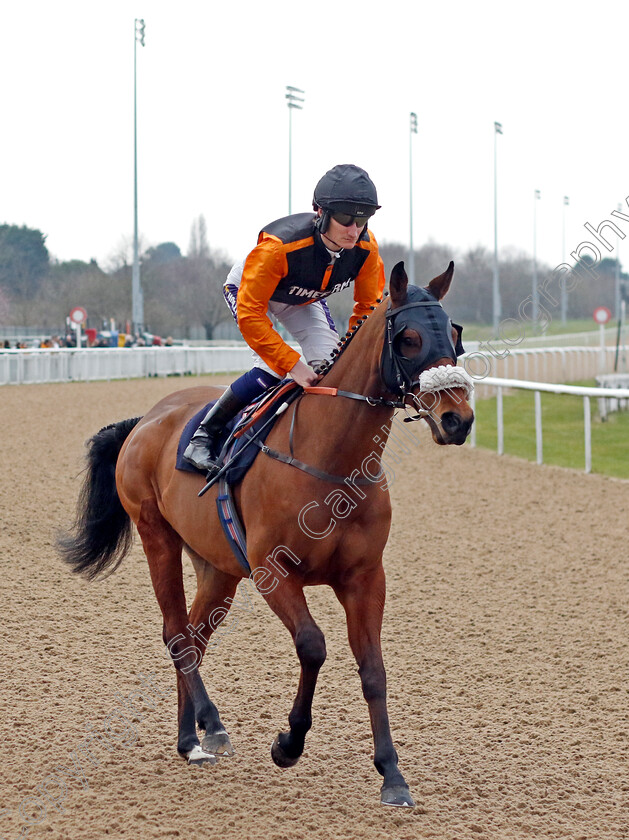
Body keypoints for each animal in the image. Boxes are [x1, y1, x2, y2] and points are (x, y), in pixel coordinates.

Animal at [59, 260, 474, 808]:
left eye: (454, 333)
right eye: (408, 339)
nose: (458, 419)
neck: (331, 463)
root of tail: (146, 419)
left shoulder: (365, 577)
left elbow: (373, 669)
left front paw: (392, 775)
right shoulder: (272, 570)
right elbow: (313, 646)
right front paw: (288, 744)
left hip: (217, 567)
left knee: (193, 636)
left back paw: (194, 736)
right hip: (157, 536)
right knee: (175, 634)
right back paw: (204, 732)